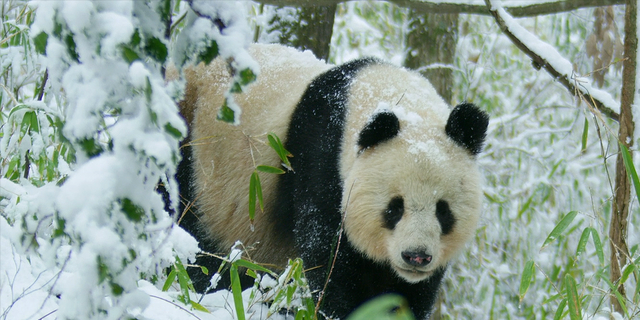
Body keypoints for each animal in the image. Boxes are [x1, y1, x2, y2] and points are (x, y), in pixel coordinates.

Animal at [178, 43, 488, 320]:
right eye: (394, 207)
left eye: (443, 210)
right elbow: (330, 264)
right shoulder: (321, 163)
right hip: (196, 146)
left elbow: (409, 293)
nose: (416, 256)